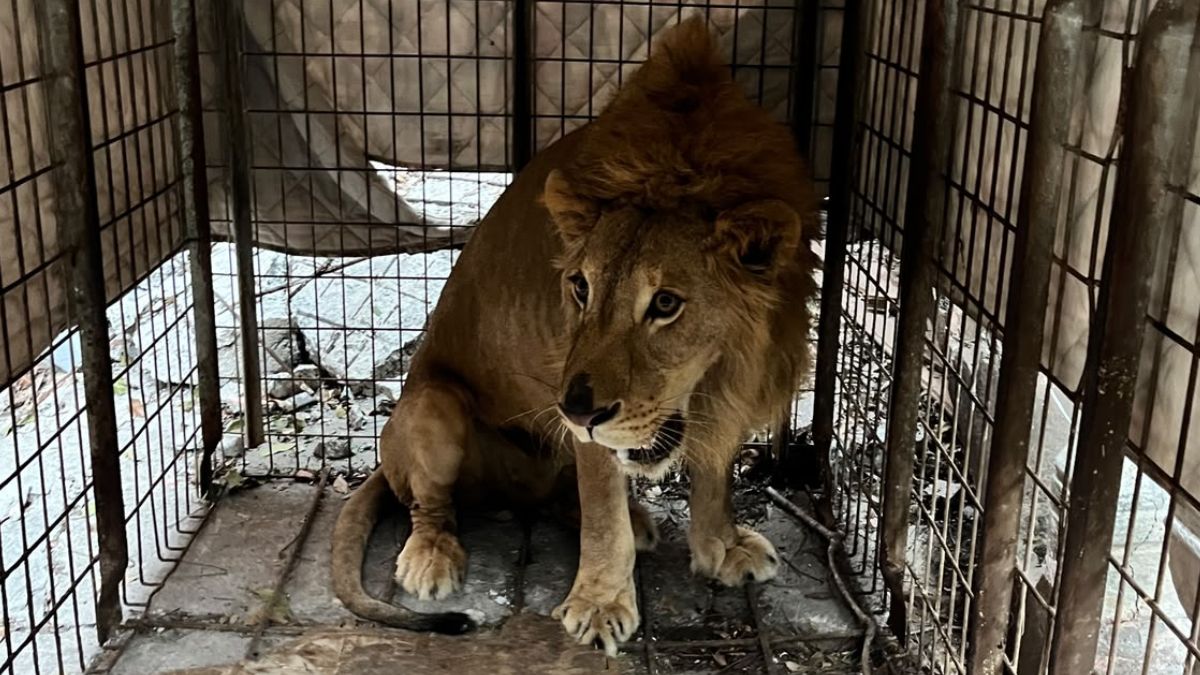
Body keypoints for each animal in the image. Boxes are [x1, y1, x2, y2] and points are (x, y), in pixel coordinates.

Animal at [330, 18, 819, 654]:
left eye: (665, 303)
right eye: (580, 288)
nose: (578, 411)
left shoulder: (729, 390)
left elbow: (712, 474)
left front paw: (722, 546)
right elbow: (603, 509)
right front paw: (601, 604)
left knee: (564, 496)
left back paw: (632, 520)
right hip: (433, 407)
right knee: (431, 505)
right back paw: (432, 560)